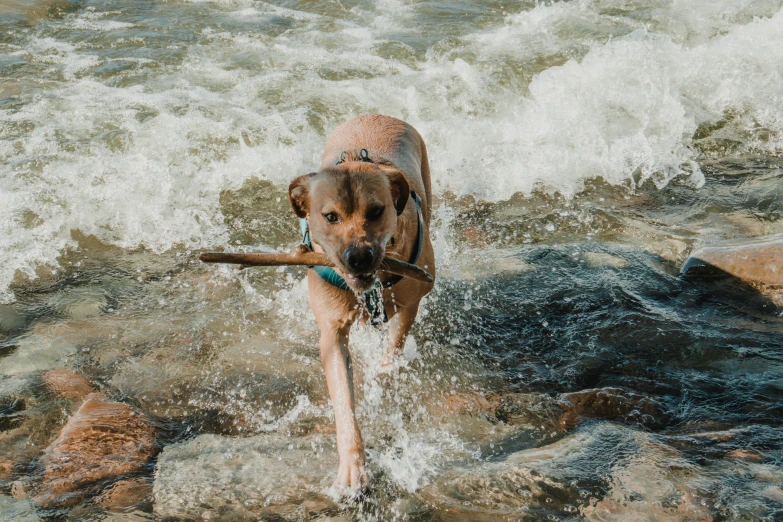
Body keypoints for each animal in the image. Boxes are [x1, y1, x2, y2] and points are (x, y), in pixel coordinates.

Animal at [288, 114, 434, 492]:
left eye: (377, 211)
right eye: (330, 217)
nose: (358, 257)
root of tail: (378, 116)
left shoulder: (409, 301)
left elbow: (393, 346)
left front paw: (383, 376)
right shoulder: (331, 332)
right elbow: (343, 400)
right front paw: (353, 468)